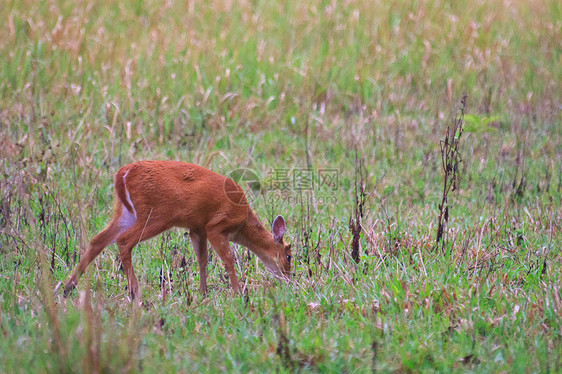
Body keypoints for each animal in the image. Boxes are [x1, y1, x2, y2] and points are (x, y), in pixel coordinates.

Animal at [63, 159, 288, 300]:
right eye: (289, 255)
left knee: (98, 239)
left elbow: (202, 259)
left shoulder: (197, 227)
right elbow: (227, 258)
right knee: (124, 240)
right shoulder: (215, 226)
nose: (288, 277)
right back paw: (134, 292)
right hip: (156, 214)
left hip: (126, 213)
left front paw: (203, 293)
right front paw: (238, 293)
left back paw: (68, 287)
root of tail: (122, 174)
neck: (242, 221)